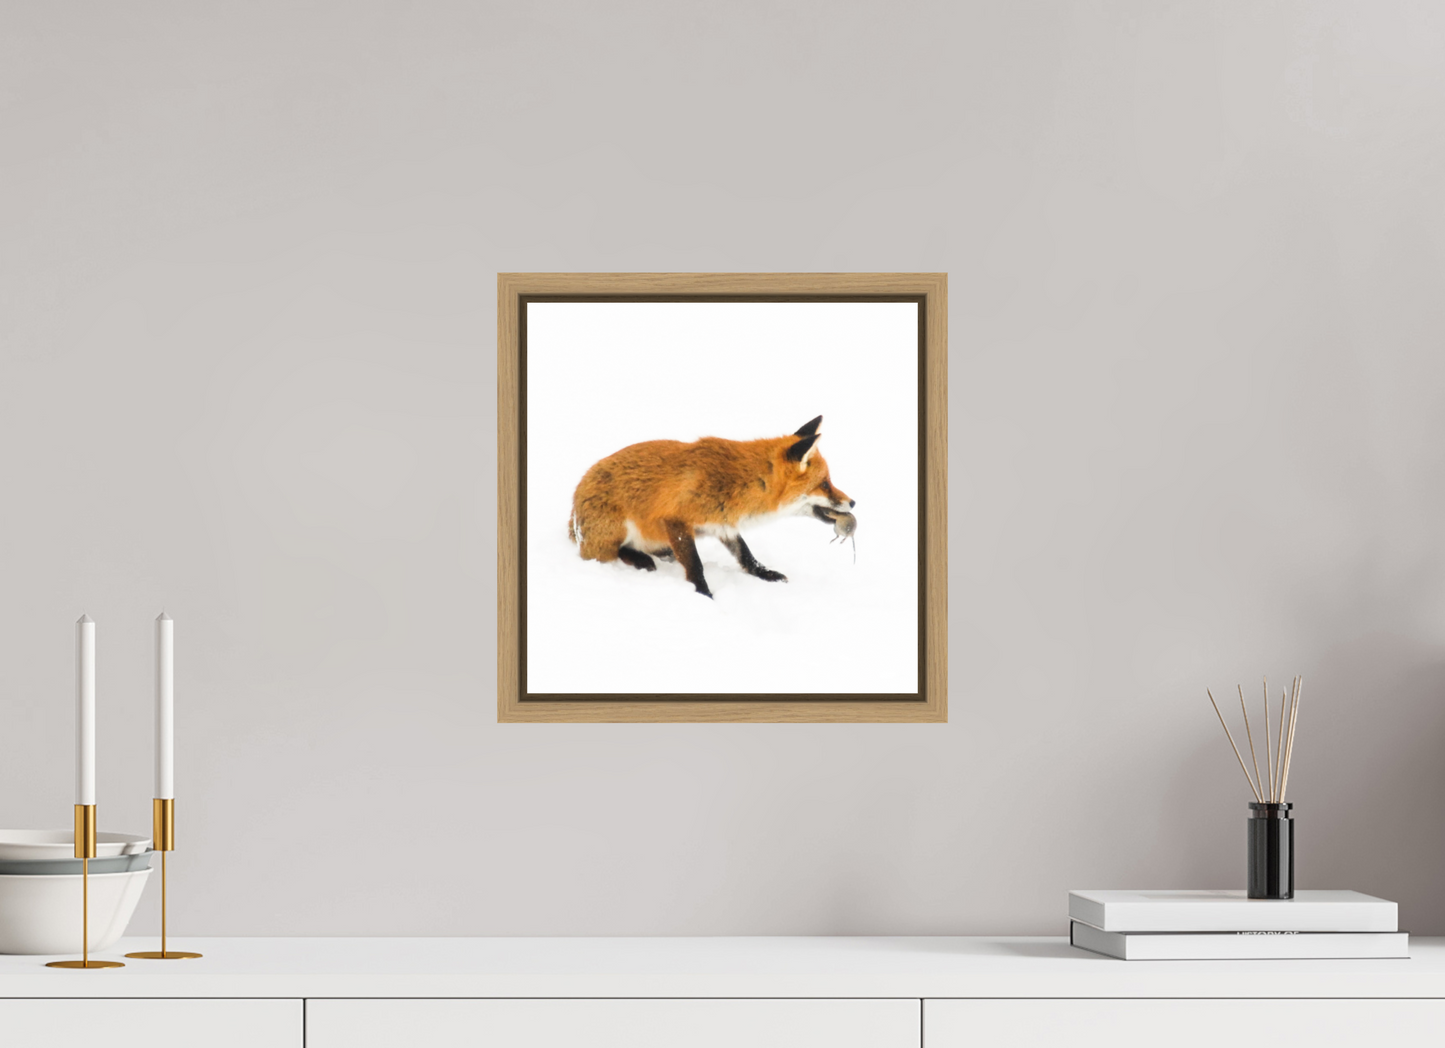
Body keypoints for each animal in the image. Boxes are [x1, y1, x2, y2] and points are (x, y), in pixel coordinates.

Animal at [567, 415, 855, 598]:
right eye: (825, 484)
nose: (853, 501)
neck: (740, 482)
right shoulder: (675, 520)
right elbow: (696, 565)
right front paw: (704, 594)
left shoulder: (723, 524)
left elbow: (746, 555)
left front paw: (765, 574)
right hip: (615, 532)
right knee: (607, 553)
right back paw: (639, 559)